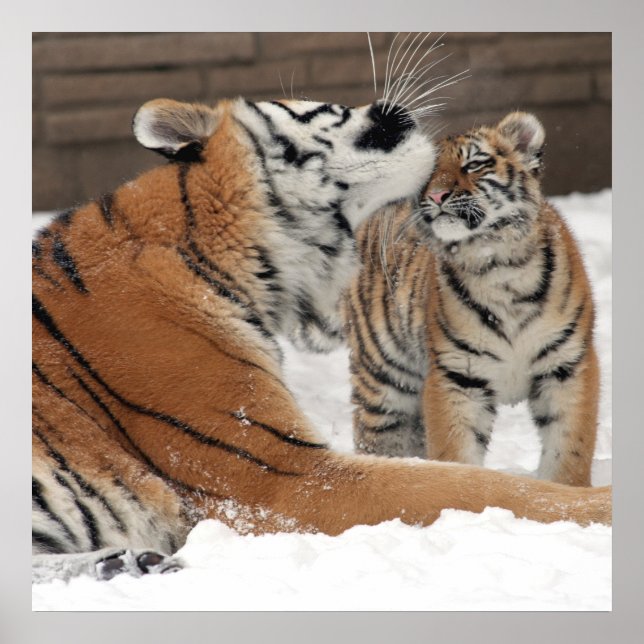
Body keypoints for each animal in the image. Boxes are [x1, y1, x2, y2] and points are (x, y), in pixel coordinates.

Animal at [346, 111, 601, 488]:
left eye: (474, 165)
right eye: (428, 174)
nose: (437, 195)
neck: (497, 265)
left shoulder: (567, 366)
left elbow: (568, 451)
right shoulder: (457, 376)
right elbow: (456, 452)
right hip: (384, 379)